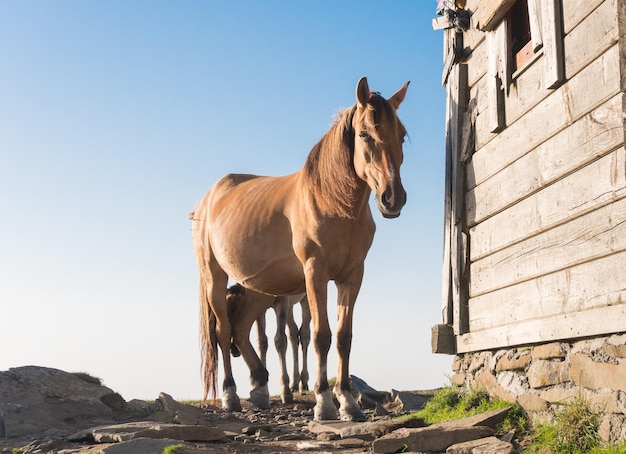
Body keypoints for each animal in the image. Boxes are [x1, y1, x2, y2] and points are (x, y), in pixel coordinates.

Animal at [188, 76, 408, 420]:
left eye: (402, 135)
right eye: (364, 134)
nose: (393, 198)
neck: (331, 201)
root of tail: (208, 200)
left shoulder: (352, 276)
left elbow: (343, 337)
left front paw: (348, 402)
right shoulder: (314, 274)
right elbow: (320, 336)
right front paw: (324, 403)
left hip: (258, 288)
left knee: (241, 329)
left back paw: (261, 387)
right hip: (215, 279)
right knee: (224, 332)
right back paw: (231, 395)